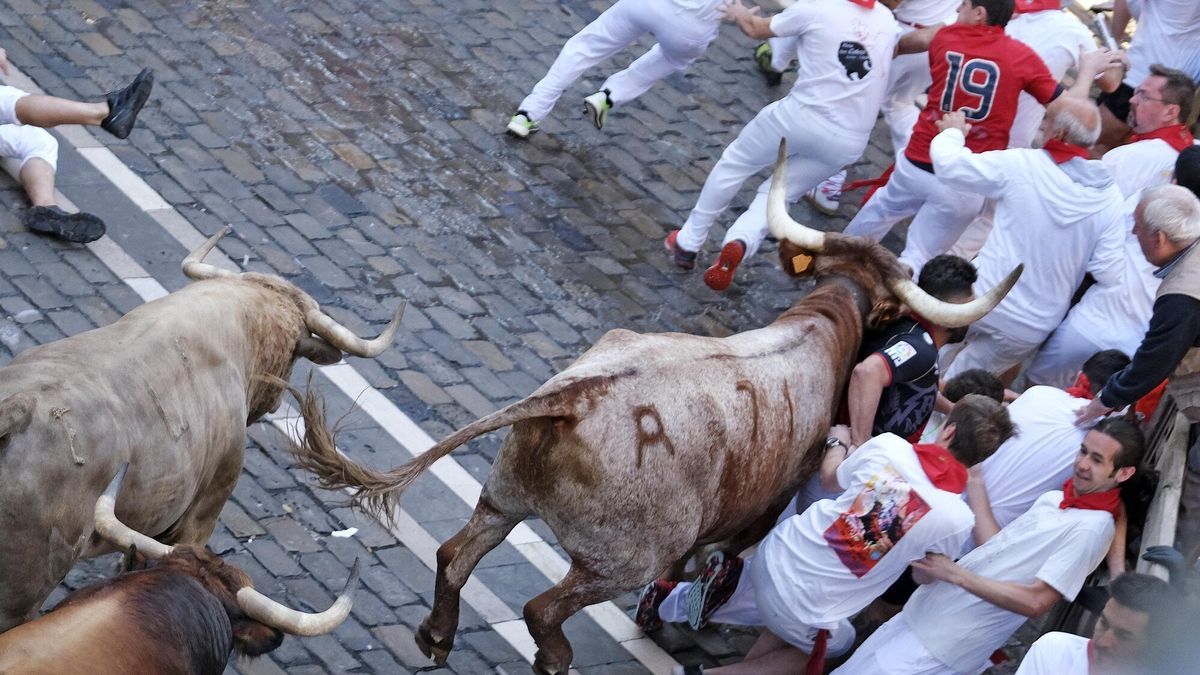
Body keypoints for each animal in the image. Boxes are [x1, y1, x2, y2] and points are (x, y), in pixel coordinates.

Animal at [297, 139, 1022, 667]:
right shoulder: (758, 510)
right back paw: (553, 659)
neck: (821, 326)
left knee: (455, 556)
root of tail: (572, 397)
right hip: (613, 559)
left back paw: (437, 637)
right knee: (541, 611)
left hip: (503, 495)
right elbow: (710, 563)